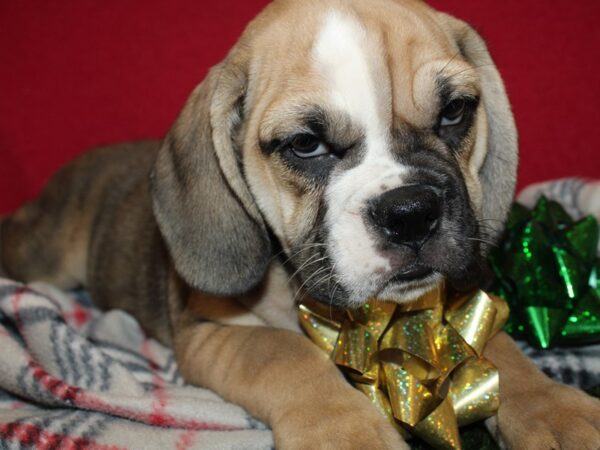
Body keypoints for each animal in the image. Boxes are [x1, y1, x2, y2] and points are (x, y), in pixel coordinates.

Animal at [1, 0, 600, 446]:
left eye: (455, 112)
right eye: (305, 145)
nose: (411, 212)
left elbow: (500, 352)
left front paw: (558, 411)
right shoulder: (213, 332)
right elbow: (284, 354)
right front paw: (348, 433)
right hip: (45, 255)